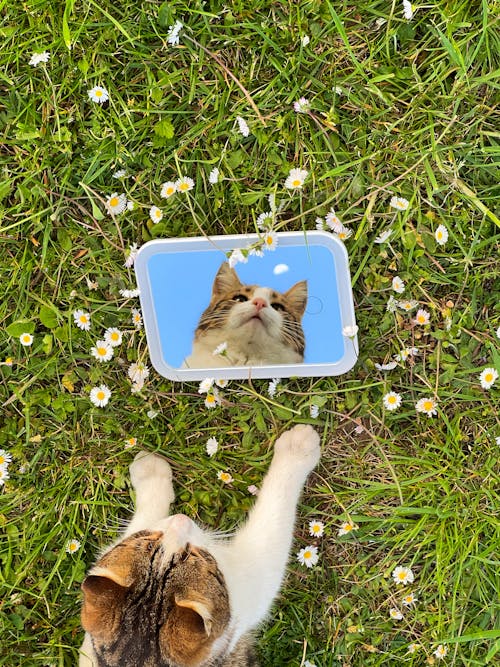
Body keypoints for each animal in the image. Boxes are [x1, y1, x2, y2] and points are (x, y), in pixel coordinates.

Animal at [78, 426, 320, 664]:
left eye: (152, 539)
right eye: (193, 554)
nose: (180, 519)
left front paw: (149, 469)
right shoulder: (253, 581)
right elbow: (273, 514)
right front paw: (298, 446)